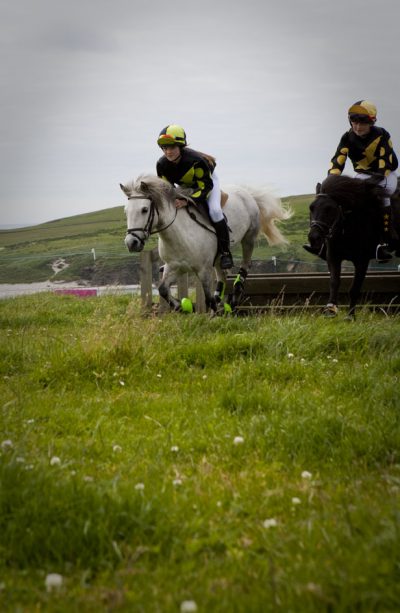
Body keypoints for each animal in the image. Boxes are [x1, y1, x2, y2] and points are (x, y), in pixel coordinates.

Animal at [121, 175, 290, 314]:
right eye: (126, 211)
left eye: (144, 209)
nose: (131, 243)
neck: (179, 235)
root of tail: (247, 192)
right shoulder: (173, 267)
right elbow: (163, 289)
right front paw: (181, 307)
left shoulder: (203, 270)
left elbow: (208, 298)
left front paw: (213, 317)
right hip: (218, 257)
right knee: (222, 277)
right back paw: (223, 304)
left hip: (248, 238)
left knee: (245, 266)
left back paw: (234, 297)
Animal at [306, 172, 396, 316]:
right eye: (311, 208)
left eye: (330, 209)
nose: (314, 238)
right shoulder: (333, 257)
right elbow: (334, 282)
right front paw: (330, 309)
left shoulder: (362, 261)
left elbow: (354, 289)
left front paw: (350, 316)